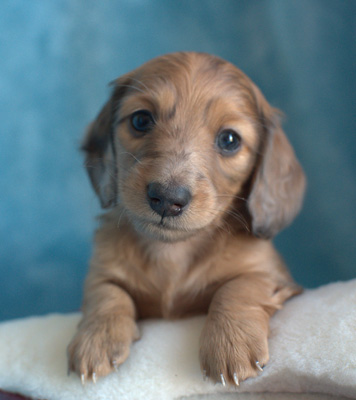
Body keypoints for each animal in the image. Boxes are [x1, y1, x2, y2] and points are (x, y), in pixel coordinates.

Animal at [67, 51, 306, 386]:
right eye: (141, 120)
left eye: (229, 139)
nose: (167, 199)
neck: (173, 252)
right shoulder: (101, 270)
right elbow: (105, 293)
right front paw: (96, 338)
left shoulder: (272, 274)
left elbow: (240, 287)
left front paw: (230, 342)